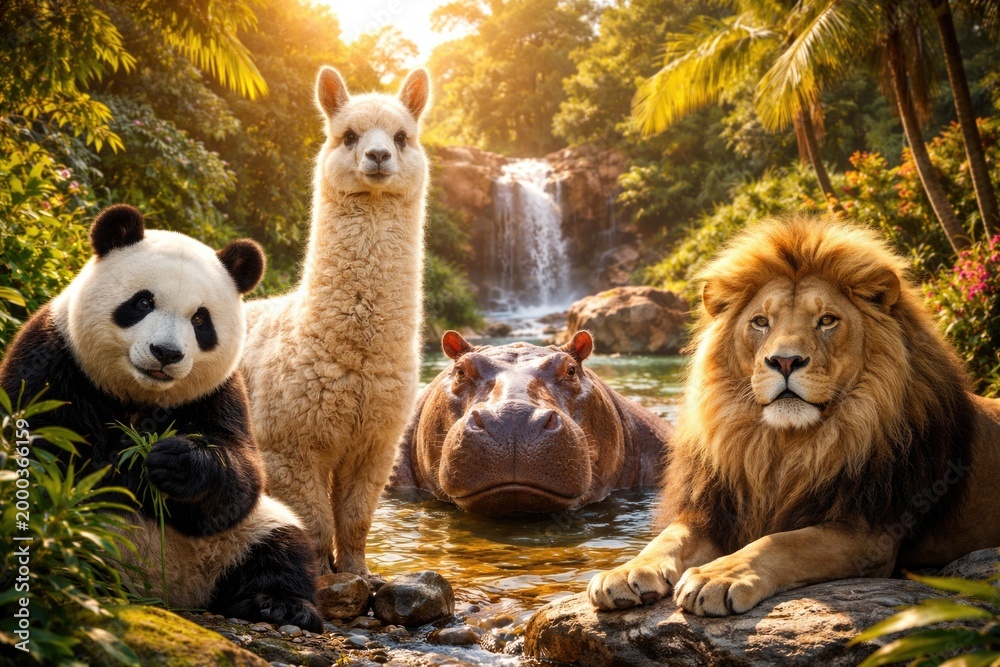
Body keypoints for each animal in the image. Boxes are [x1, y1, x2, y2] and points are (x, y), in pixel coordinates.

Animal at [0, 204, 323, 632]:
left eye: (200, 320)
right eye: (142, 303)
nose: (166, 353)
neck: (140, 394)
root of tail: (175, 593)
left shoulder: (217, 392)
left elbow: (242, 475)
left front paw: (173, 461)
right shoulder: (53, 359)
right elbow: (47, 453)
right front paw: (126, 463)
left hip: (246, 535)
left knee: (283, 544)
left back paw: (278, 604)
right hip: (76, 530)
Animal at [588, 216, 1000, 616]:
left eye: (827, 320)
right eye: (760, 322)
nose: (784, 361)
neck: (785, 448)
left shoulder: (869, 535)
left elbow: (781, 542)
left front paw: (718, 576)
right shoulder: (716, 512)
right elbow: (668, 538)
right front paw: (627, 571)